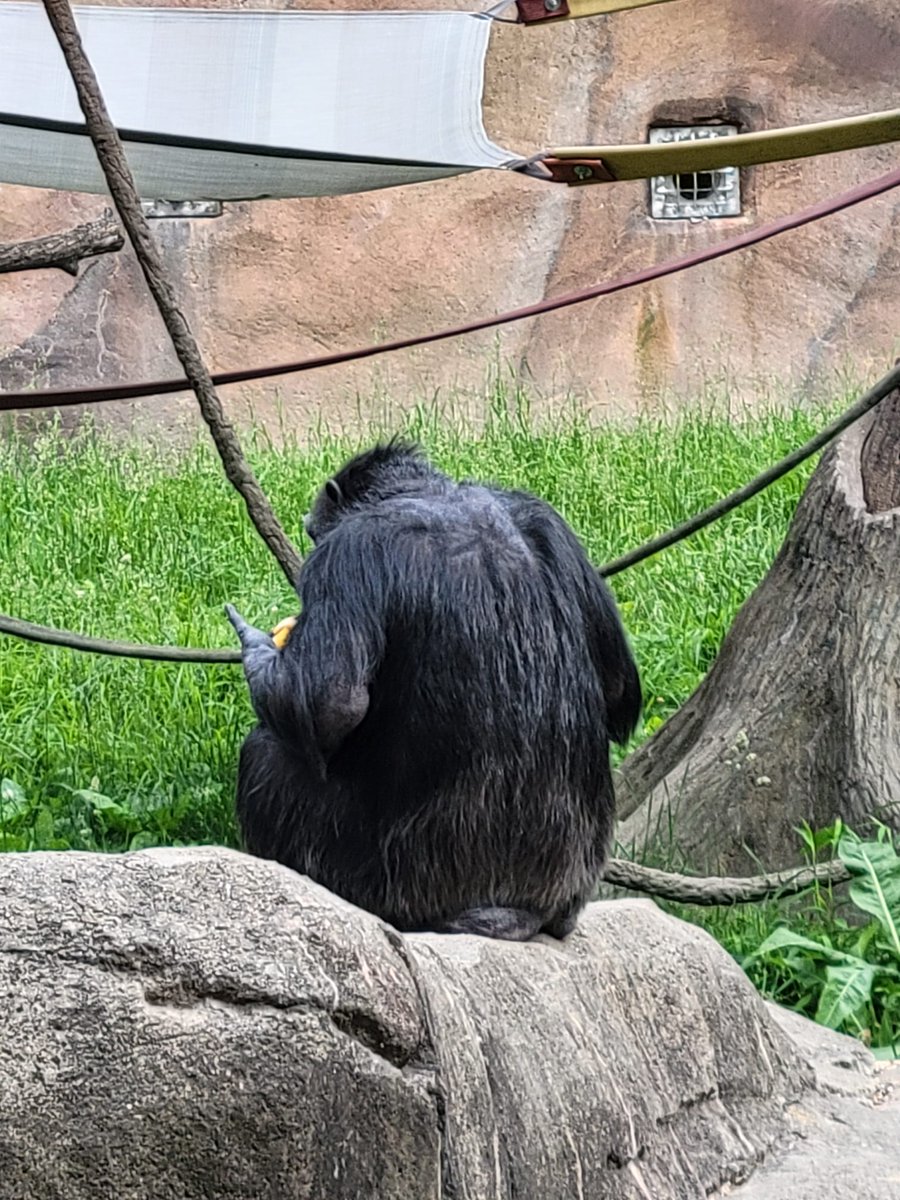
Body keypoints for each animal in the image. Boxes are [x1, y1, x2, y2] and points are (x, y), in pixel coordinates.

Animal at [226, 440, 641, 941]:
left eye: (315, 536)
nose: (307, 546)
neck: (434, 497)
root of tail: (518, 913)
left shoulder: (348, 551)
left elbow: (329, 701)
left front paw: (258, 648)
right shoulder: (550, 521)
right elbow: (620, 687)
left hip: (381, 884)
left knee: (265, 753)